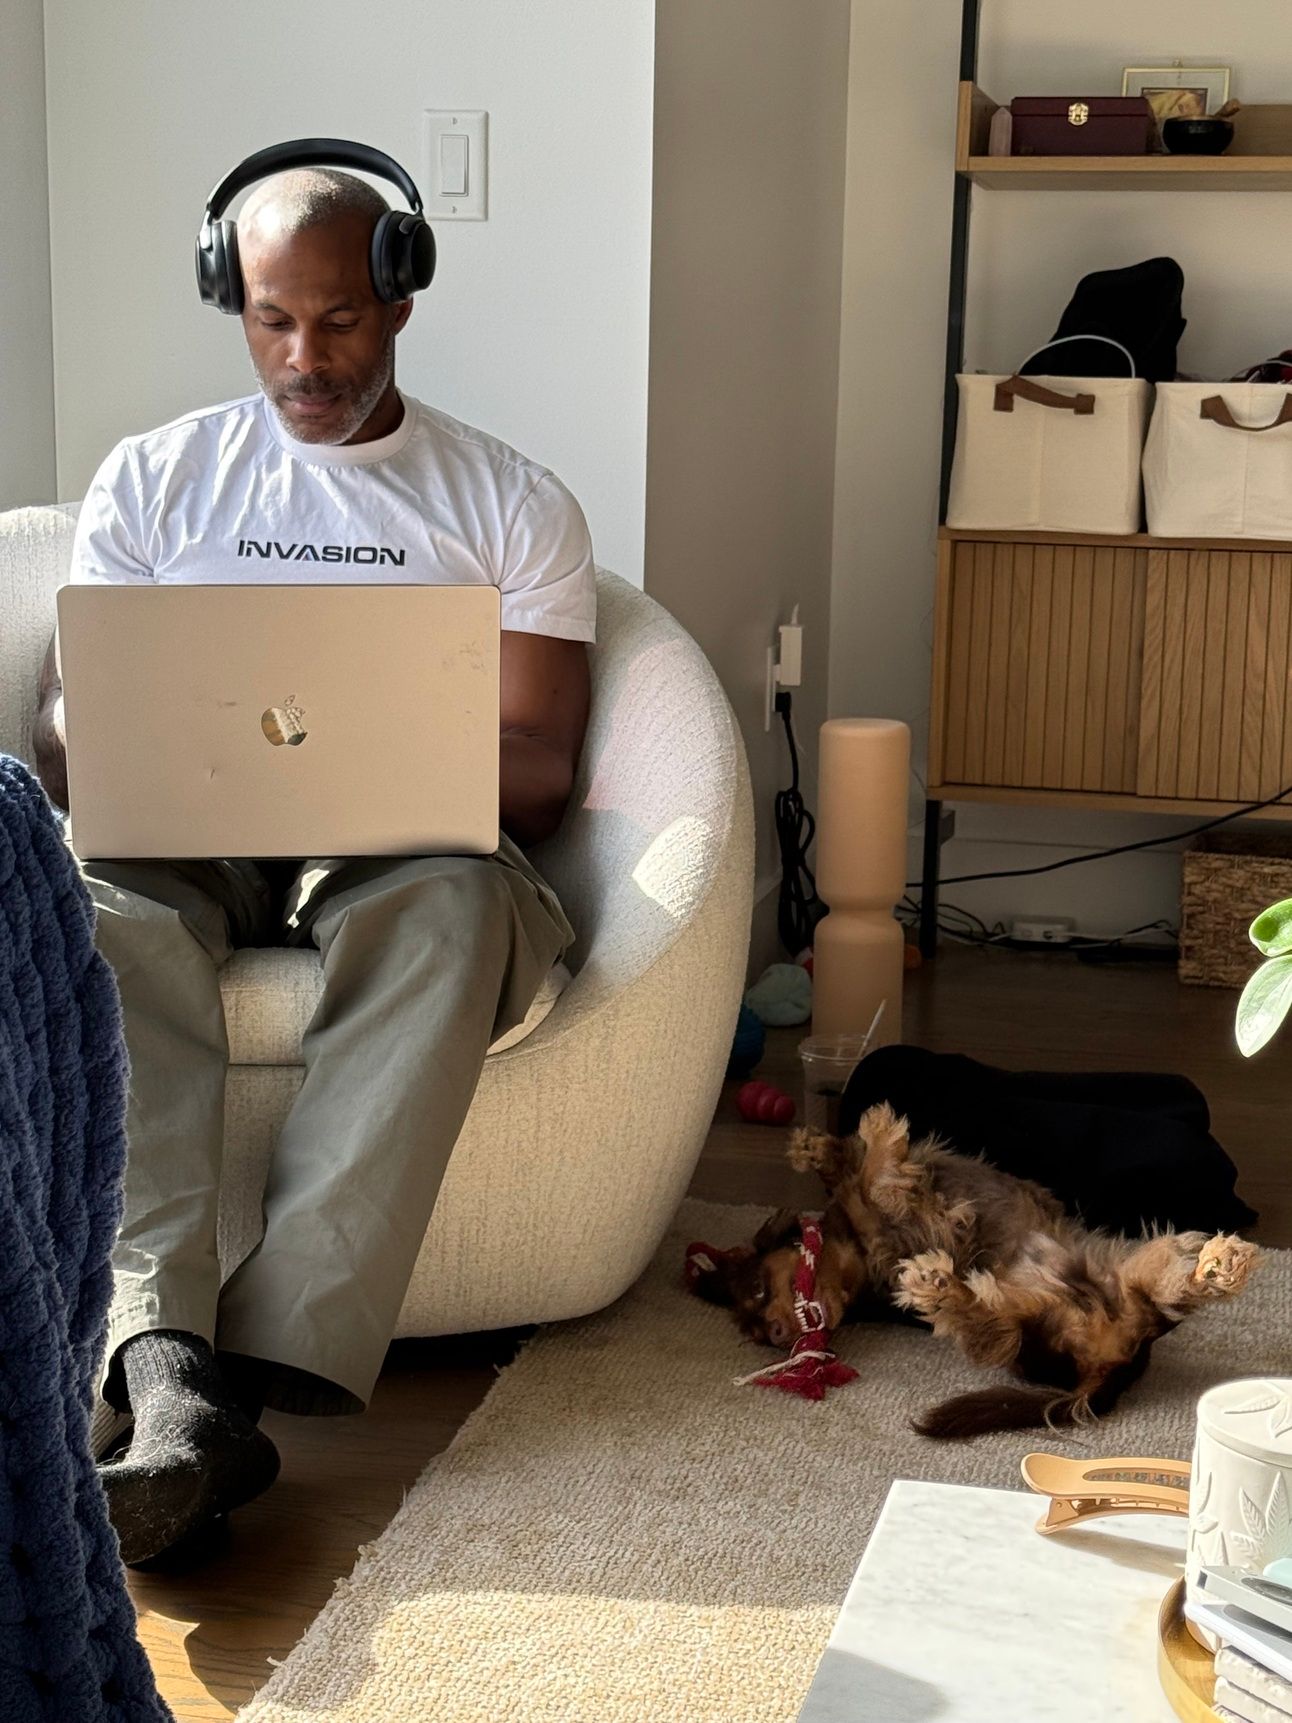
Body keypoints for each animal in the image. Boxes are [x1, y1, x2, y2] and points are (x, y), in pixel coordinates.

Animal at [690, 1102, 1258, 1437]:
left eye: (758, 1291)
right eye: (757, 1332)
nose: (777, 1335)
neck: (853, 1260)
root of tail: (1111, 1367)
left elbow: (847, 1173)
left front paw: (816, 1147)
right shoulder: (911, 1226)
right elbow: (869, 1182)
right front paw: (877, 1138)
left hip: (1122, 1272)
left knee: (1162, 1289)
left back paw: (1215, 1268)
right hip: (1026, 1322)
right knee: (990, 1330)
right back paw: (937, 1289)